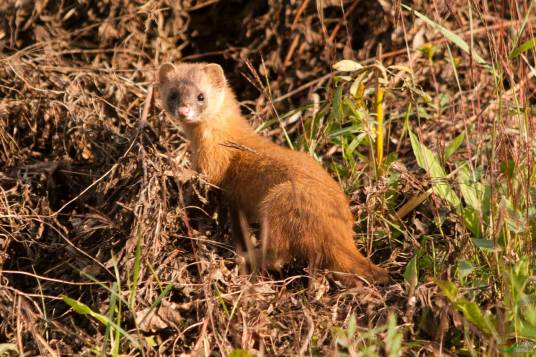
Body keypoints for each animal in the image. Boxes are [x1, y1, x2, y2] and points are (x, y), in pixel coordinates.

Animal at [157, 61, 388, 284]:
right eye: (173, 94)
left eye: (201, 96)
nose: (183, 111)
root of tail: (339, 233)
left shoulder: (212, 163)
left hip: (280, 201)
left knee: (277, 254)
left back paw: (245, 257)